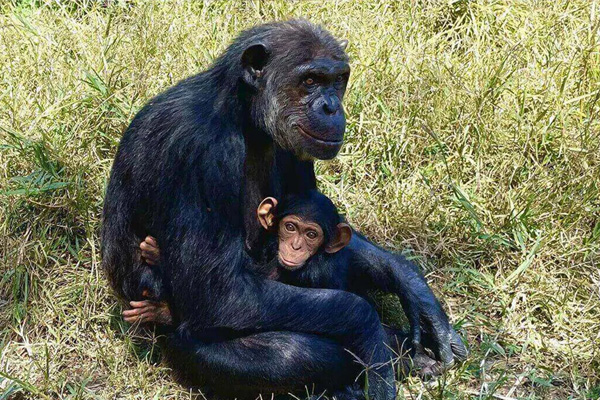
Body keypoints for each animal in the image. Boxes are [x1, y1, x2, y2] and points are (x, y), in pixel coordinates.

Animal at [103, 19, 466, 400]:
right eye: (310, 80)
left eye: (338, 79)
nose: (330, 106)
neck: (244, 116)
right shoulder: (202, 153)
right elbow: (220, 294)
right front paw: (372, 332)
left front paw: (416, 294)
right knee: (286, 353)